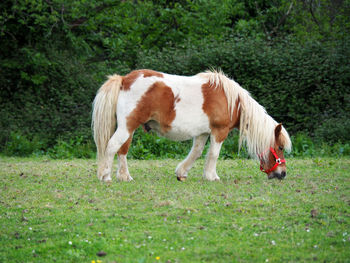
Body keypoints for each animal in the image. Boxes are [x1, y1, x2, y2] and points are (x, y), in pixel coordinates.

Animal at [91, 69, 292, 183]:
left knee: (122, 150)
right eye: (280, 147)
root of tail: (125, 79)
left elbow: (196, 153)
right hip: (127, 127)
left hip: (129, 128)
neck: (231, 100)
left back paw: (124, 176)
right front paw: (211, 176)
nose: (282, 174)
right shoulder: (219, 132)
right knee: (112, 146)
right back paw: (105, 176)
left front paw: (181, 173)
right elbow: (213, 154)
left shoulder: (202, 133)